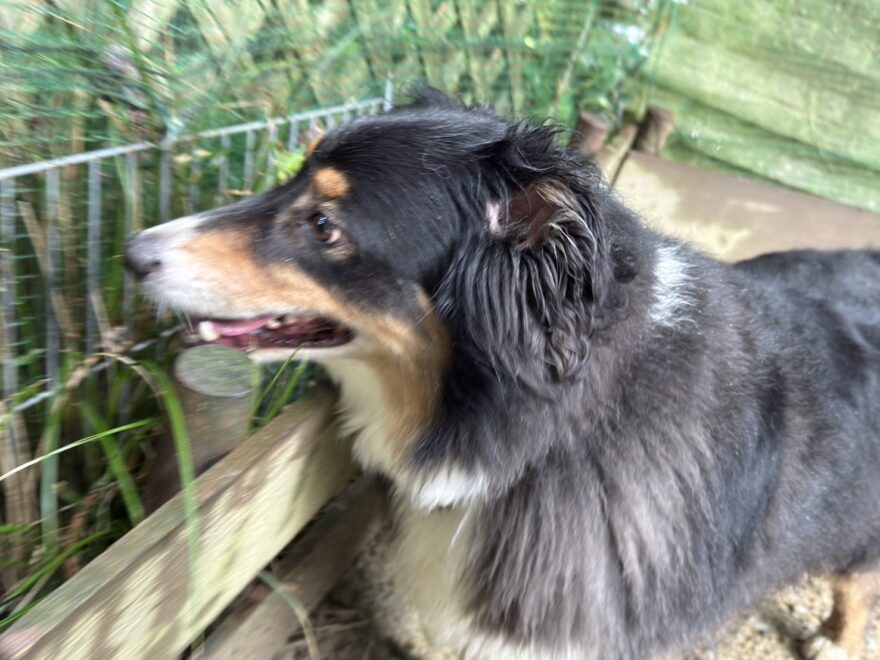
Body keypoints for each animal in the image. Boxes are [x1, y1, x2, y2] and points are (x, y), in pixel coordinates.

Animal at [126, 90, 880, 659]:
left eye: (323, 226)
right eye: (290, 176)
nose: (132, 254)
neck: (551, 425)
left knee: (859, 579)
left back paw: (837, 638)